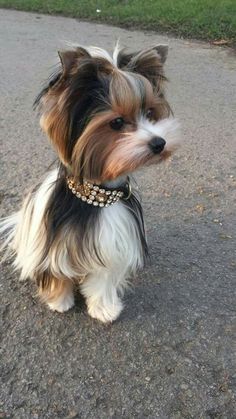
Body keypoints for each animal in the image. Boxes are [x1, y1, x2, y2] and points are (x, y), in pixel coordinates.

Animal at [0, 44, 179, 324]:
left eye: (150, 113)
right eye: (117, 122)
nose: (159, 143)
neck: (99, 195)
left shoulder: (111, 246)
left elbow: (102, 280)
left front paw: (104, 309)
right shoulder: (54, 247)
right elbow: (57, 274)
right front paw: (60, 302)